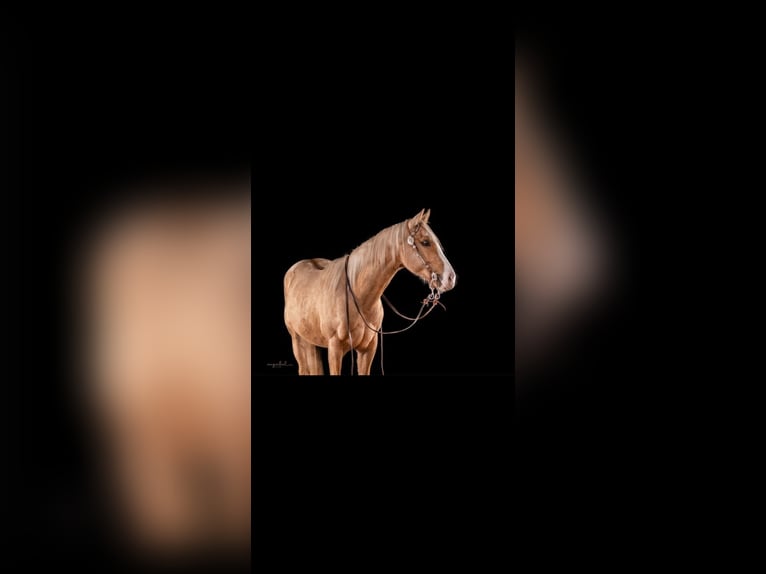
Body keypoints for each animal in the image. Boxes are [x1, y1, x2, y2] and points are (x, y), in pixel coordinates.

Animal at [283, 209, 456, 375]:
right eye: (425, 242)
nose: (450, 278)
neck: (358, 298)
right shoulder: (334, 349)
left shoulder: (368, 349)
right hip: (297, 340)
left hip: (310, 341)